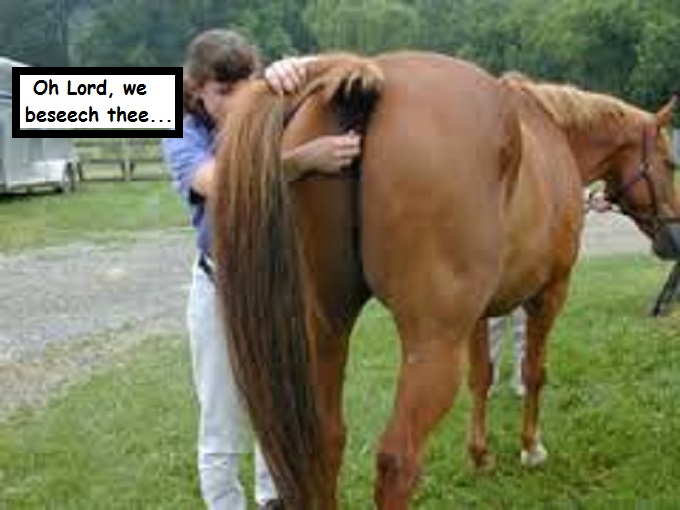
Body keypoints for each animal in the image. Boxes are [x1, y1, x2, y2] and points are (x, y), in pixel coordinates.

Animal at [210, 52, 678, 509]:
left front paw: (481, 455)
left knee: (327, 442)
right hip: (432, 347)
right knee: (397, 462)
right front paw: (530, 448)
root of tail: (369, 77)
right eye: (671, 162)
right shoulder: (549, 294)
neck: (549, 134)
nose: (674, 237)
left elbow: (483, 375)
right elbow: (533, 371)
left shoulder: (480, 314)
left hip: (326, 332)